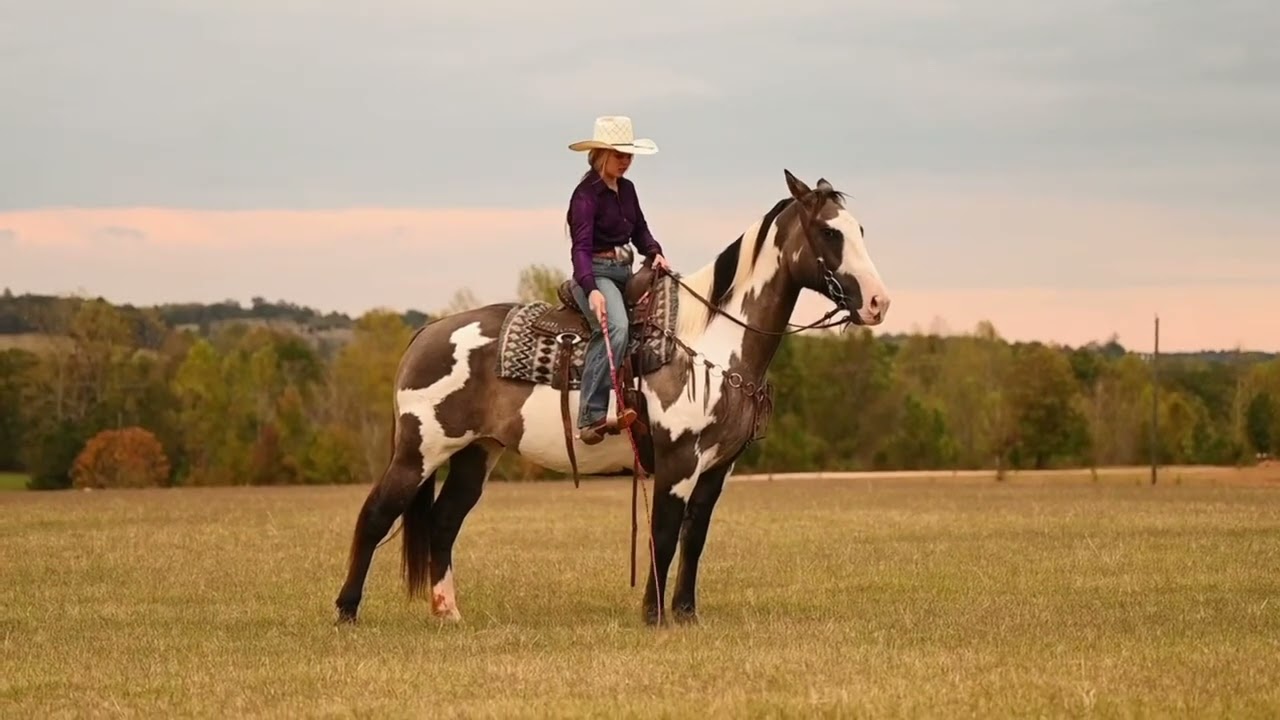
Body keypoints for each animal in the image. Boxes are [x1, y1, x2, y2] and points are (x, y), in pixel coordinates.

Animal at [333, 169, 891, 626]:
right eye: (830, 233)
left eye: (861, 230)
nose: (879, 303)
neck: (709, 340)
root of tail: (428, 331)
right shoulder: (677, 461)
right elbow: (663, 533)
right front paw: (655, 615)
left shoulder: (717, 467)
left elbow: (694, 538)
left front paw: (686, 614)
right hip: (420, 451)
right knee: (376, 515)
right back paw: (346, 613)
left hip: (476, 453)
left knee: (444, 522)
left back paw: (449, 613)